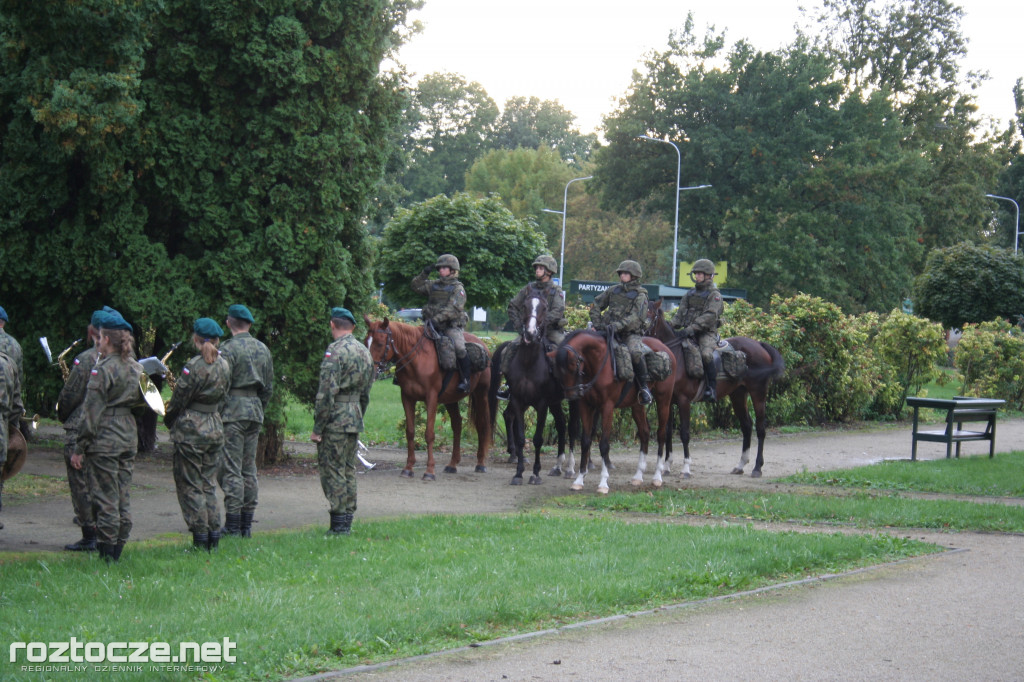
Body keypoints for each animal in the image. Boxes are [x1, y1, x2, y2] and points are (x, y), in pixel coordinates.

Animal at [364, 315, 491, 477]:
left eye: (380, 344)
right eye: (365, 341)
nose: (370, 370)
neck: (417, 358)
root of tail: (483, 345)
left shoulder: (431, 398)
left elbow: (429, 434)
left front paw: (429, 471)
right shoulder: (407, 398)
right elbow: (410, 432)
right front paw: (408, 468)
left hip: (481, 394)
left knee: (482, 424)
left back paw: (481, 463)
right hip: (451, 400)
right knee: (457, 424)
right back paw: (452, 464)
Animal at [485, 296, 577, 483]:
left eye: (544, 307)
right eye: (525, 306)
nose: (530, 333)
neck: (529, 362)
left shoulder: (542, 405)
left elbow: (537, 439)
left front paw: (535, 473)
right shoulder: (518, 400)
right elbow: (521, 438)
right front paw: (519, 473)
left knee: (572, 428)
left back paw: (570, 468)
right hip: (553, 402)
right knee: (560, 424)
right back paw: (556, 466)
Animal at [552, 327, 679, 491]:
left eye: (573, 365)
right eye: (557, 370)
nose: (572, 395)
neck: (599, 363)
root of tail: (666, 349)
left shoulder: (607, 407)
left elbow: (604, 444)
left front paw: (603, 483)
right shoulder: (586, 406)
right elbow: (586, 441)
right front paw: (579, 479)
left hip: (664, 400)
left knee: (661, 435)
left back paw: (657, 476)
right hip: (637, 405)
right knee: (644, 433)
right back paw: (638, 476)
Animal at [647, 301, 782, 475]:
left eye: (650, 314)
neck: (675, 356)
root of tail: (758, 344)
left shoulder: (684, 401)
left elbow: (684, 433)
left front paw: (686, 468)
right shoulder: (667, 401)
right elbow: (668, 432)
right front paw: (667, 466)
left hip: (758, 393)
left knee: (760, 428)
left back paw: (757, 467)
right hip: (738, 395)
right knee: (746, 426)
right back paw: (740, 465)